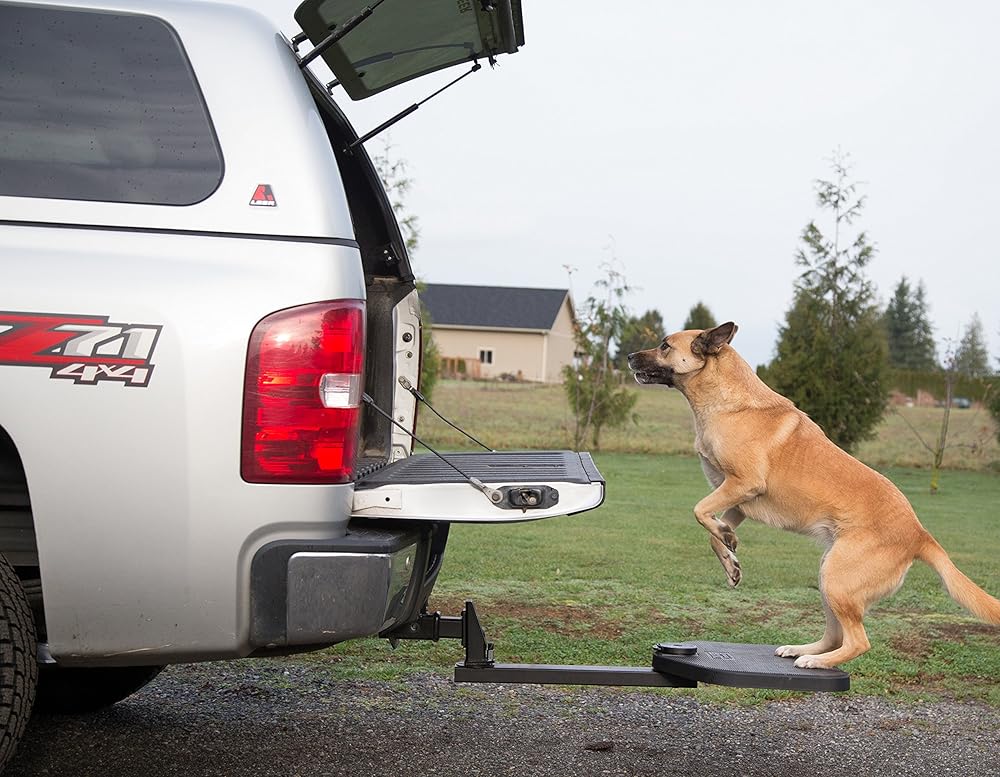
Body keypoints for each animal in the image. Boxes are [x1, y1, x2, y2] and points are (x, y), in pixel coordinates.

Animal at [627, 322, 1000, 668]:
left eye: (664, 345)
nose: (629, 356)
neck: (728, 404)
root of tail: (919, 533)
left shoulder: (742, 484)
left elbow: (700, 511)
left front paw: (726, 539)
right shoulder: (739, 502)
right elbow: (713, 532)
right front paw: (730, 558)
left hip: (837, 580)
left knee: (858, 641)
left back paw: (815, 661)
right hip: (827, 575)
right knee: (836, 635)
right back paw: (801, 649)